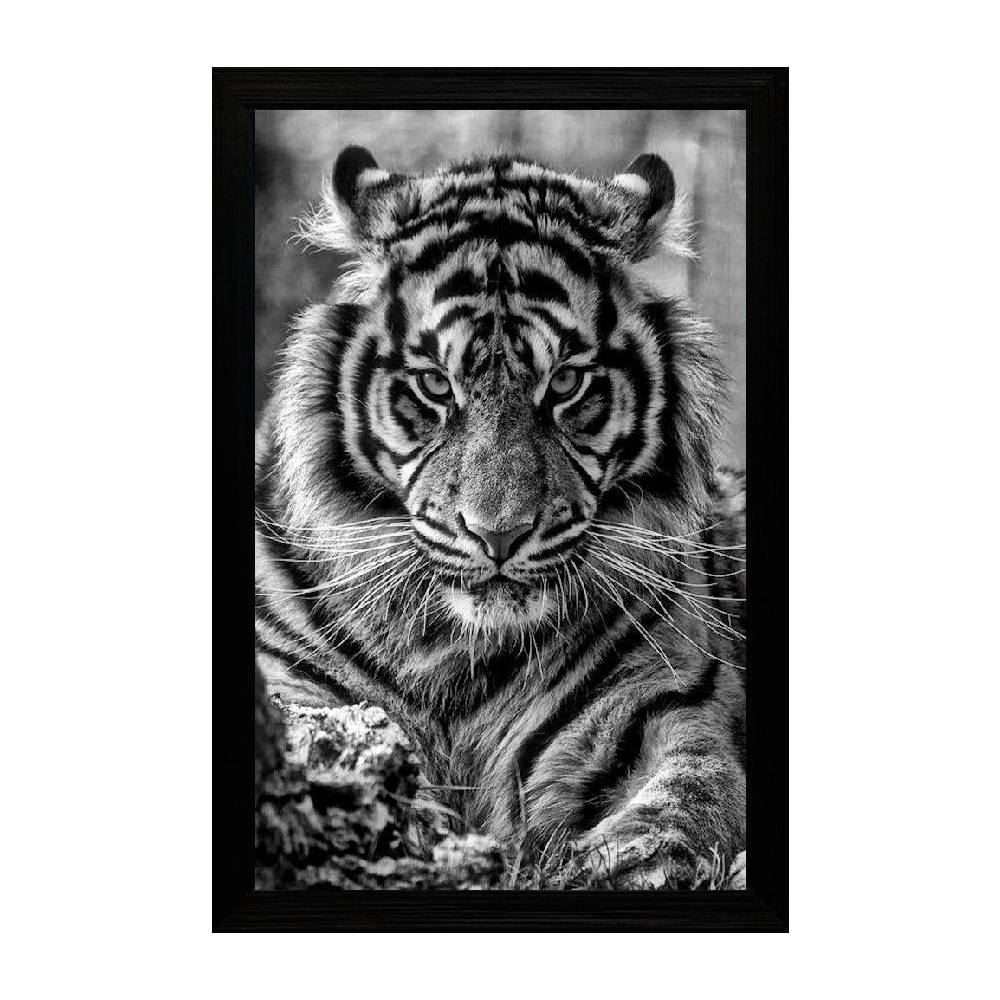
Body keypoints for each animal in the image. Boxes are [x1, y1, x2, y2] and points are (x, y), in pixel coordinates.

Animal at [254, 145, 746, 889]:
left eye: (565, 383)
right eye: (435, 385)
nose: (498, 535)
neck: (456, 651)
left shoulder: (664, 705)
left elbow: (683, 805)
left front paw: (610, 867)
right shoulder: (291, 685)